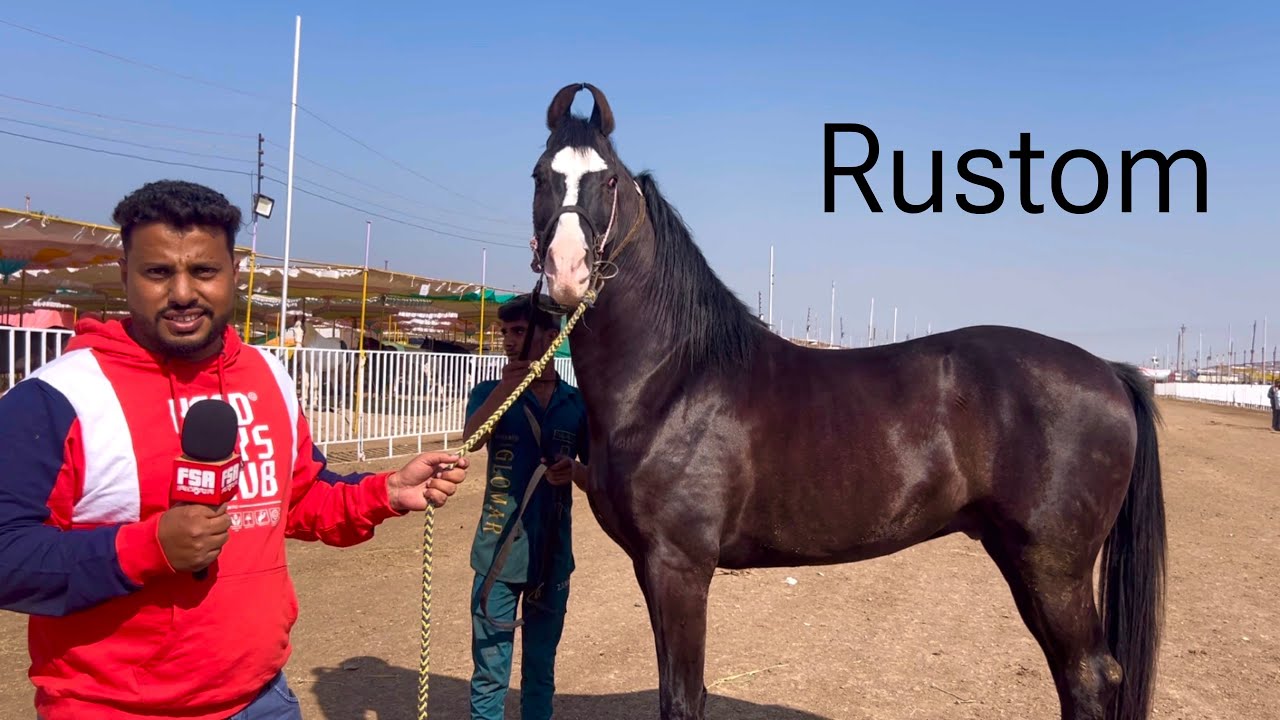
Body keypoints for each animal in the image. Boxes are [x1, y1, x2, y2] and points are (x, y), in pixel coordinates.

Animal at [526, 83, 1166, 720]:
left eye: (609, 180)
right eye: (539, 175)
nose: (567, 274)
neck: (673, 379)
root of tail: (1108, 372)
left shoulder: (679, 566)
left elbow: (682, 698)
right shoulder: (649, 565)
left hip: (1053, 568)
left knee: (1088, 676)